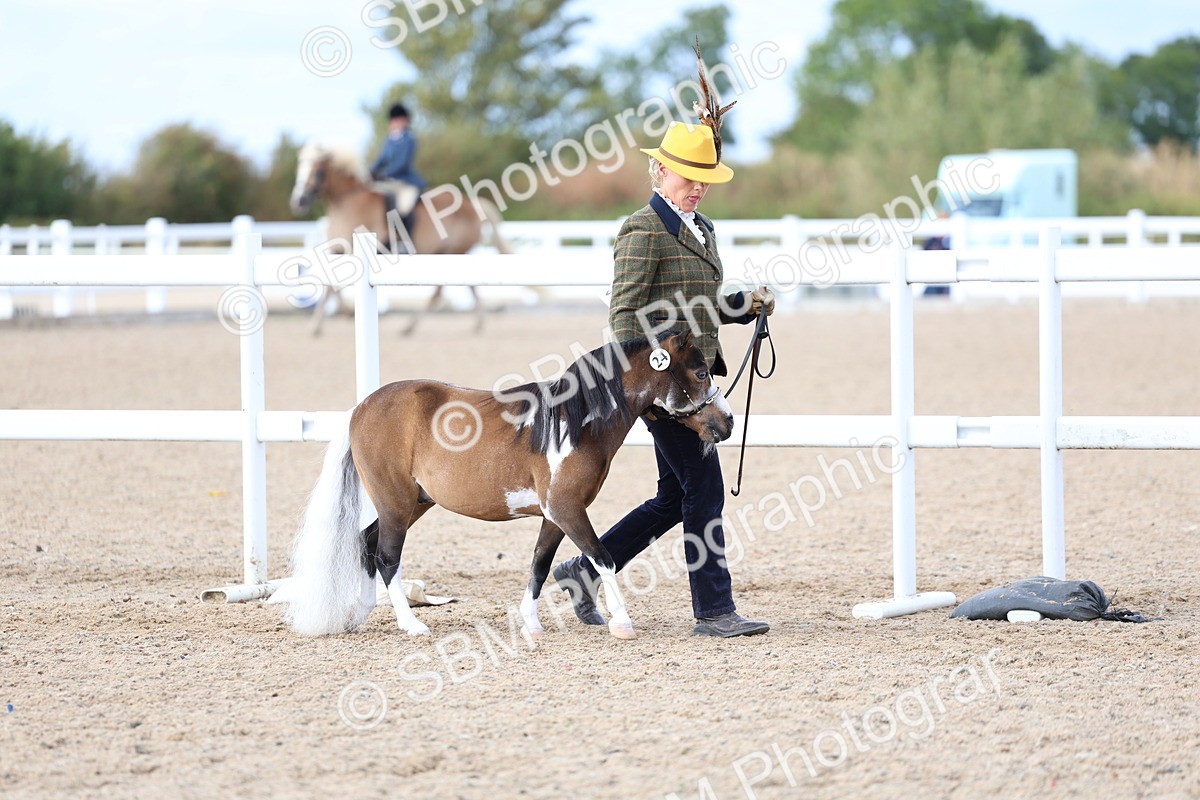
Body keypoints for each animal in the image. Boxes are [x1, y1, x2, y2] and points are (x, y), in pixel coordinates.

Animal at [278, 330, 734, 641]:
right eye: (700, 371)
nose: (727, 422)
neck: (572, 424)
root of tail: (362, 408)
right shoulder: (568, 509)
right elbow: (603, 558)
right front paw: (622, 622)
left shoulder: (555, 514)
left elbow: (539, 565)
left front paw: (531, 624)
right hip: (395, 502)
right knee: (386, 557)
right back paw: (411, 624)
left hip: (414, 503)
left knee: (367, 545)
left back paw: (360, 614)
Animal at [289, 141, 512, 336]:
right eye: (299, 168)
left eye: (317, 171)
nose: (298, 202)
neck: (348, 204)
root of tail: (471, 204)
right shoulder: (337, 251)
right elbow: (330, 285)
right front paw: (320, 324)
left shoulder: (353, 252)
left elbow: (334, 286)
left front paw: (342, 316)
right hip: (453, 254)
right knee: (468, 286)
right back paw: (477, 323)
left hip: (453, 252)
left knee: (439, 293)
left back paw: (409, 326)